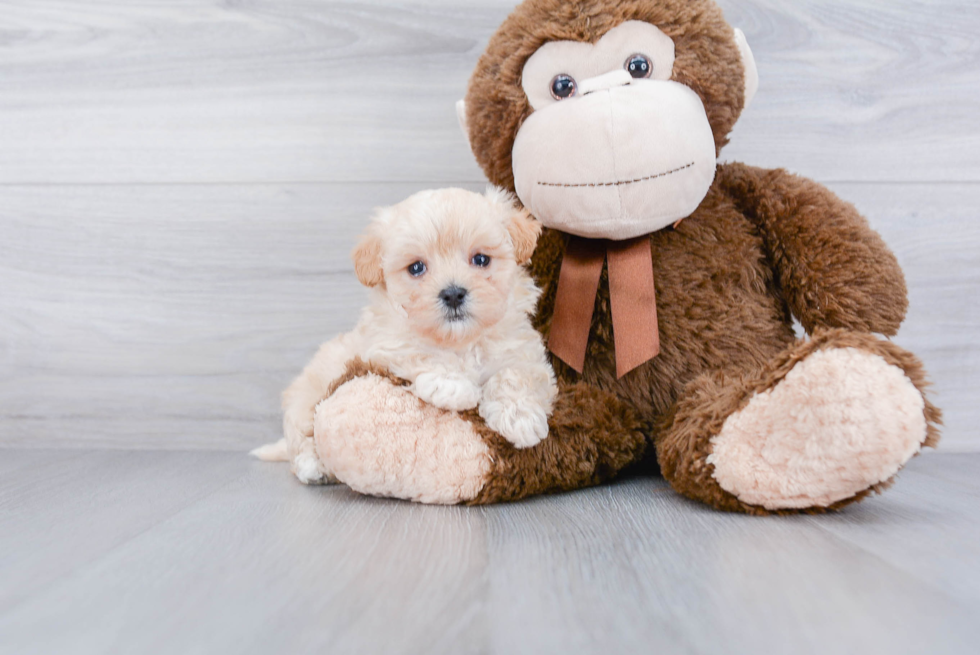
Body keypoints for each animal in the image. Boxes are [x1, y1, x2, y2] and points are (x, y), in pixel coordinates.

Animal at [253, 187, 560, 484]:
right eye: (416, 267)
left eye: (481, 259)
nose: (453, 293)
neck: (460, 341)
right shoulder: (384, 344)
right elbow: (419, 350)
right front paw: (453, 386)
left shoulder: (523, 351)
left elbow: (517, 375)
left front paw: (519, 417)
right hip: (307, 400)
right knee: (301, 437)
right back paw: (313, 466)